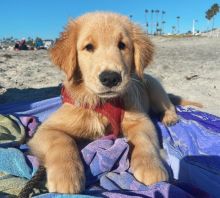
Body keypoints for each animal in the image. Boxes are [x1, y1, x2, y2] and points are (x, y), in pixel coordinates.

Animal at [27, 12, 179, 193]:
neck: (103, 102)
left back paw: (170, 118)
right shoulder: (46, 129)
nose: (111, 78)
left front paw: (151, 167)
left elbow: (144, 139)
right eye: (89, 47)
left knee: (169, 104)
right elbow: (62, 141)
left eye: (122, 45)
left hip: (154, 87)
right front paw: (66, 176)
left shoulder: (140, 120)